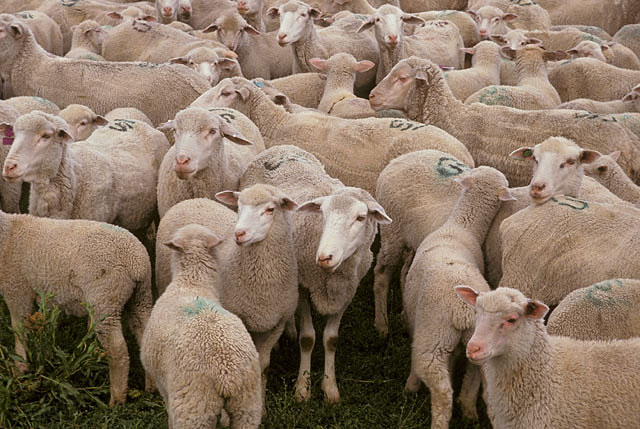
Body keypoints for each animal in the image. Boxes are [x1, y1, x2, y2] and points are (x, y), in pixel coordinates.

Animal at [0, 209, 154, 407]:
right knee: (145, 334)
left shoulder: (17, 290)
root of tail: (136, 262)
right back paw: (151, 387)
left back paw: (117, 400)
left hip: (105, 300)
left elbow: (19, 330)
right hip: (141, 297)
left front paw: (20, 369)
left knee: (117, 349)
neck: (7, 234)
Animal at [239, 145, 392, 403]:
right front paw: (303, 388)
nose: (324, 257)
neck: (330, 276)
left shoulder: (347, 290)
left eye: (361, 218)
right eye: (323, 214)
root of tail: (282, 147)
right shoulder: (303, 286)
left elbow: (331, 339)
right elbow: (308, 338)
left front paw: (330, 388)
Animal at [403, 166, 515, 429]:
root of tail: (463, 311)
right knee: (481, 381)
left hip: (433, 338)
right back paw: (470, 409)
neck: (460, 228)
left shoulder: (416, 319)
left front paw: (410, 385)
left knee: (442, 391)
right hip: (483, 344)